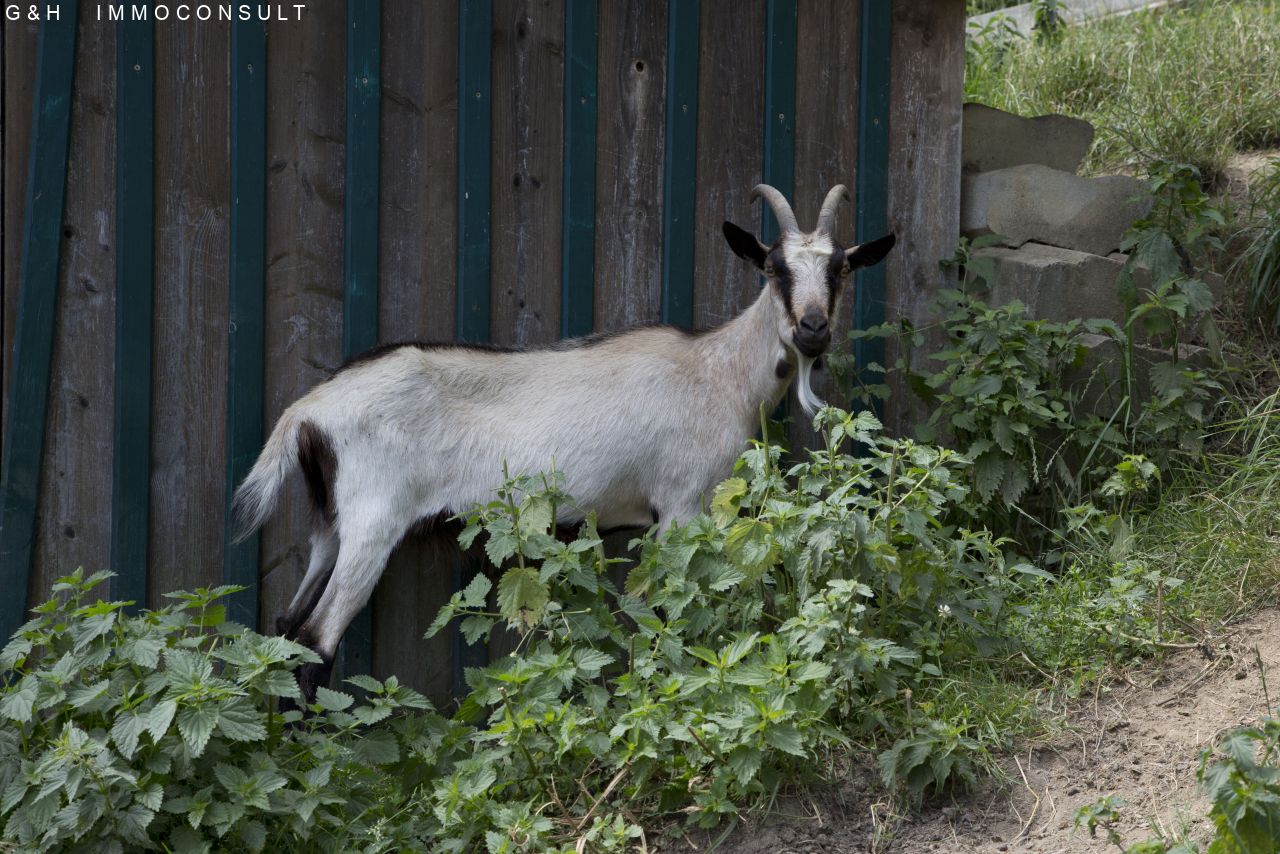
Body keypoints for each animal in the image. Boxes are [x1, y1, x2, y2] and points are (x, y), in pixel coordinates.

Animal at [232, 184, 890, 696]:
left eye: (839, 269)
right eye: (774, 268)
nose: (812, 330)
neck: (716, 370)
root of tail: (307, 412)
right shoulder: (681, 505)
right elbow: (672, 613)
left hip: (330, 526)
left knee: (285, 628)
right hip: (373, 522)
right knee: (316, 643)